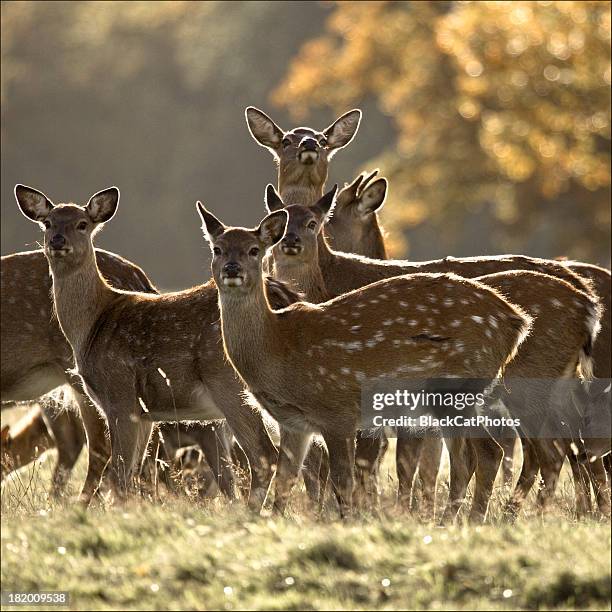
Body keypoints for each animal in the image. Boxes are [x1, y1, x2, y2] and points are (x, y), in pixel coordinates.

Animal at [13, 185, 292, 506]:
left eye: (82, 224)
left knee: (263, 456)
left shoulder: (119, 394)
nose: (57, 240)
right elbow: (134, 471)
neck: (94, 323)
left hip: (230, 386)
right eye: (48, 223)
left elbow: (118, 473)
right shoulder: (144, 412)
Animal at [198, 192, 532, 520]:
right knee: (468, 457)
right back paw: (450, 520)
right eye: (217, 249)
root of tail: (516, 321)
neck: (278, 348)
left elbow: (342, 480)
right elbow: (285, 480)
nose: (232, 269)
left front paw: (346, 522)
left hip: (454, 386)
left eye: (254, 250)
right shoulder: (294, 423)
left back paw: (469, 520)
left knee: (487, 451)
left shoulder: (337, 411)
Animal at [266, 188, 604, 520]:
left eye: (319, 222)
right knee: (568, 443)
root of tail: (588, 305)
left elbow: (390, 459)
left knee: (551, 448)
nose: (288, 240)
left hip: (528, 383)